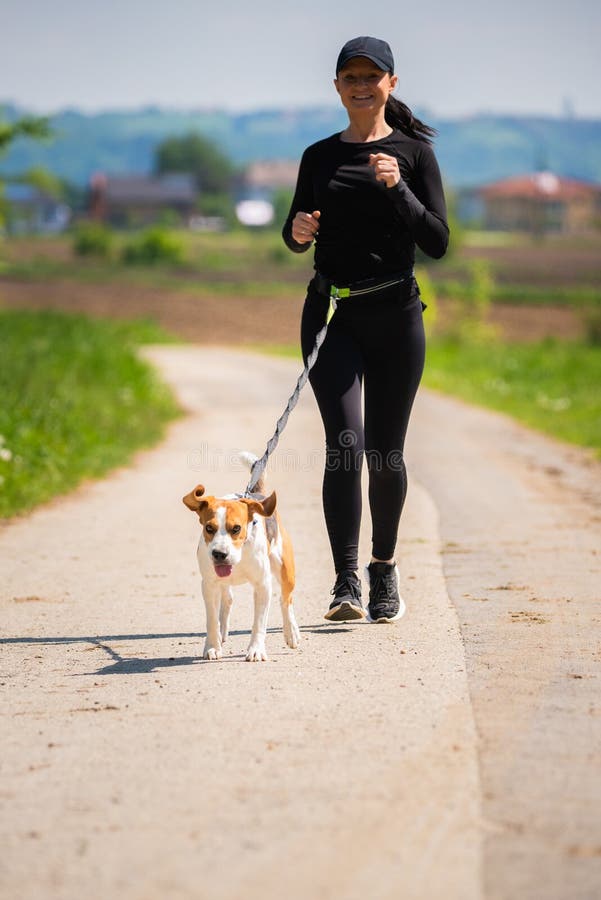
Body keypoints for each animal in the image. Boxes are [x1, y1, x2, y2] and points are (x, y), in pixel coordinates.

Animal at [180, 454, 298, 656]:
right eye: (209, 528)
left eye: (236, 528)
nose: (219, 554)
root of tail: (256, 495)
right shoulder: (209, 585)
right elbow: (212, 620)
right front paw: (212, 646)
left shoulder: (262, 585)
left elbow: (259, 623)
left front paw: (256, 650)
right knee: (227, 599)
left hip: (285, 570)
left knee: (285, 600)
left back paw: (291, 632)